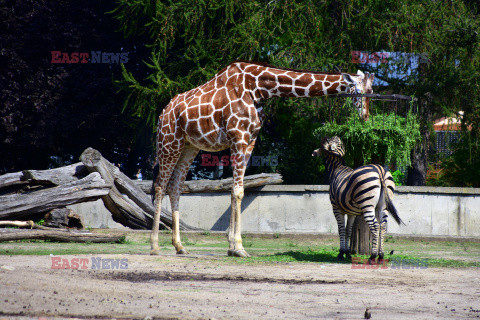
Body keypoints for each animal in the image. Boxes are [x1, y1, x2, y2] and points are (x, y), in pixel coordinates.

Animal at [150, 60, 376, 258]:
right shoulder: (238, 137)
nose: (365, 117)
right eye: (360, 91)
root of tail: (163, 113)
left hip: (189, 146)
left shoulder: (249, 140)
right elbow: (238, 191)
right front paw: (239, 247)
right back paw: (155, 246)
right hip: (169, 142)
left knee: (175, 187)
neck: (259, 88)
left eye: (372, 91)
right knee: (161, 186)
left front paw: (231, 247)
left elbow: (236, 191)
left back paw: (180, 247)